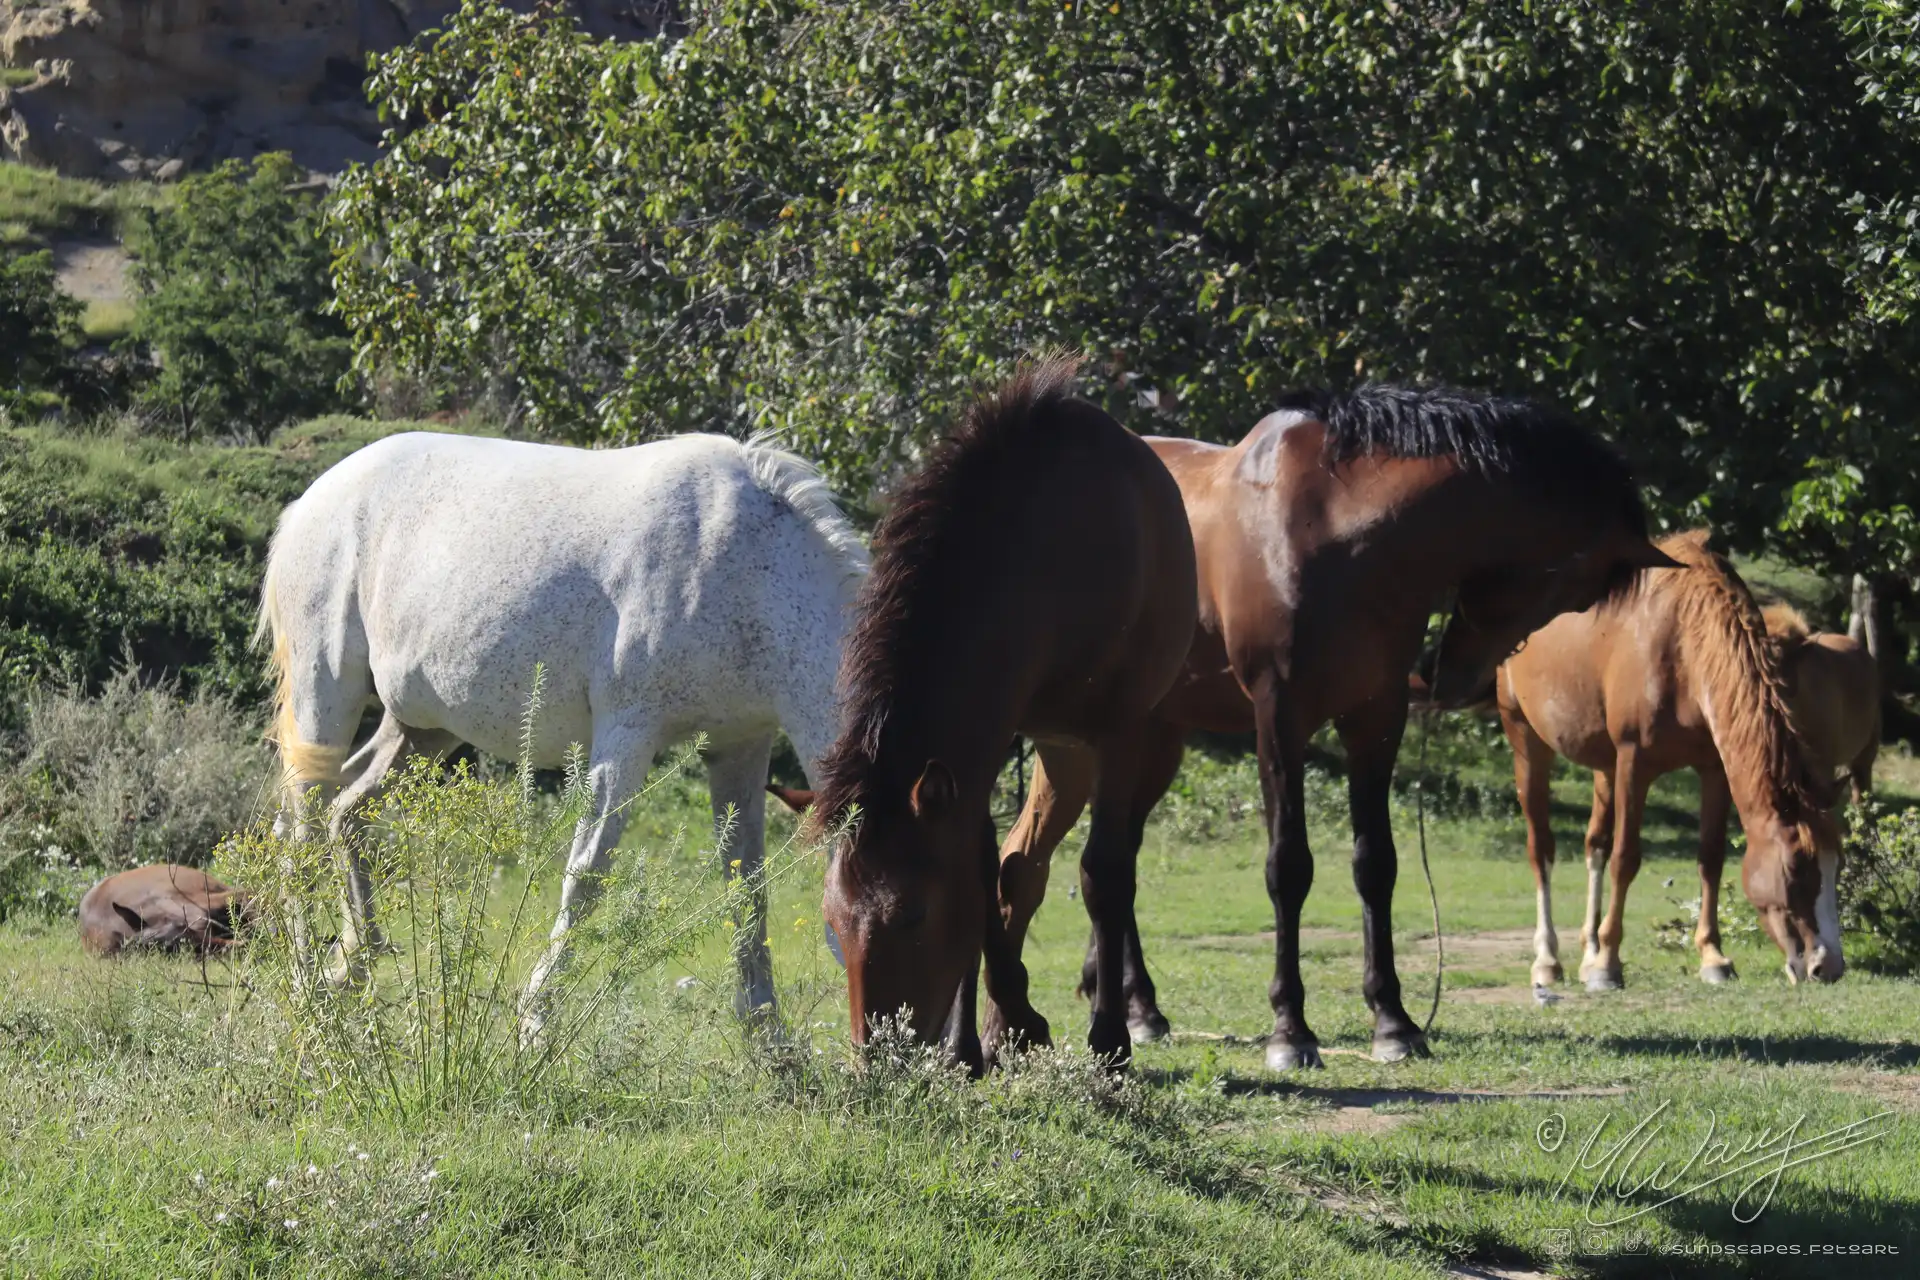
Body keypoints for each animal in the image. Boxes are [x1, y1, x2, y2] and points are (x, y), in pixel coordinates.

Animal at [251, 429, 867, 1028]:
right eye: (850, 925)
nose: (881, 1046)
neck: (749, 566)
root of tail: (311, 501)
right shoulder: (627, 736)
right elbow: (588, 874)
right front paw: (535, 1020)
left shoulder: (739, 746)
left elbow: (747, 886)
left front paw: (769, 1041)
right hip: (324, 695)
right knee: (301, 830)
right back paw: (309, 992)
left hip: (421, 727)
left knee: (346, 811)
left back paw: (351, 965)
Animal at [990, 387, 1681, 1074]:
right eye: (1572, 587)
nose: (1454, 676)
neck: (1337, 534)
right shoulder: (1280, 717)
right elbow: (1289, 867)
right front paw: (1290, 1030)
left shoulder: (1375, 719)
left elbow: (1377, 864)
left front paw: (1394, 1022)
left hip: (1158, 740)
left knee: (1122, 856)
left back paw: (1139, 1008)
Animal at [1497, 529, 1843, 990]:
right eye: (1796, 870)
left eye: (1836, 865)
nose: (1828, 966)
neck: (1682, 643)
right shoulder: (1633, 763)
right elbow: (1626, 858)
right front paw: (1608, 965)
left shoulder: (1713, 770)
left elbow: (1710, 857)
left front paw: (1712, 957)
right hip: (1525, 737)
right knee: (1542, 849)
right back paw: (1548, 960)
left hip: (1603, 766)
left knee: (1594, 846)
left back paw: (1587, 952)